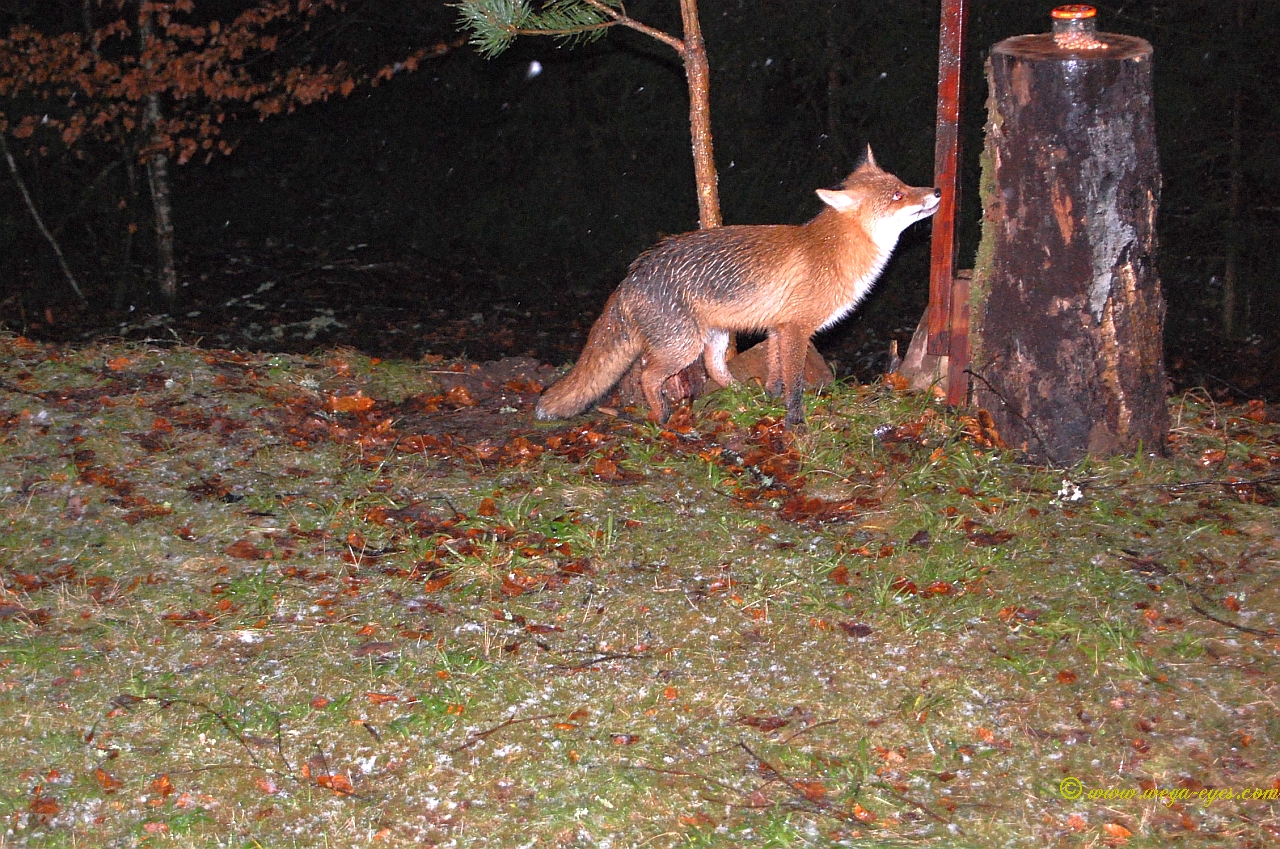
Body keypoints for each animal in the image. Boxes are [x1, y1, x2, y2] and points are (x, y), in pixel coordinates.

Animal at [532, 147, 942, 432]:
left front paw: (770, 401)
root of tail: (634, 272)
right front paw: (795, 423)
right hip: (683, 346)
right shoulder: (796, 328)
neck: (835, 251)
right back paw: (664, 417)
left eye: (905, 185)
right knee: (649, 374)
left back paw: (739, 394)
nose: (937, 190)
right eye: (896, 196)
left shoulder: (778, 327)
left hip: (713, 336)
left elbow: (777, 374)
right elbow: (795, 383)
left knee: (714, 369)